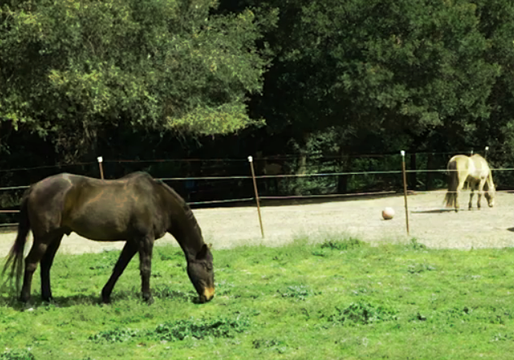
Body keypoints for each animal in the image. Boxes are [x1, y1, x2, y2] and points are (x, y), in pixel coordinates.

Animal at [2, 171, 214, 304]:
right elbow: (145, 268)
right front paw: (148, 297)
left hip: (56, 236)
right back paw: (26, 300)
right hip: (43, 238)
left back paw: (48, 298)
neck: (157, 199)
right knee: (31, 263)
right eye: (208, 267)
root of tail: (34, 187)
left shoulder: (133, 241)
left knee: (45, 264)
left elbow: (119, 267)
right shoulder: (145, 239)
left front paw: (105, 295)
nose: (209, 296)